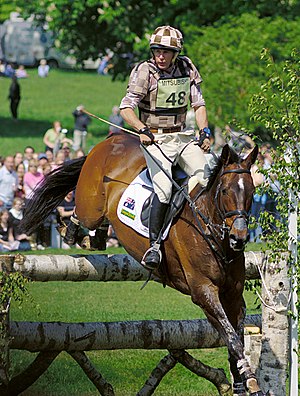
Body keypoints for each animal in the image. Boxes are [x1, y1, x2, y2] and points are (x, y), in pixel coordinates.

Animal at [21, 134, 266, 396]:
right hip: (91, 204)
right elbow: (232, 338)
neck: (209, 227)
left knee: (99, 234)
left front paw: (241, 383)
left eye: (252, 191)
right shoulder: (203, 292)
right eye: (225, 190)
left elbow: (235, 337)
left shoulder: (233, 294)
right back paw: (68, 230)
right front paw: (252, 382)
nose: (239, 238)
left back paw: (91, 238)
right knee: (83, 214)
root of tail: (112, 138)